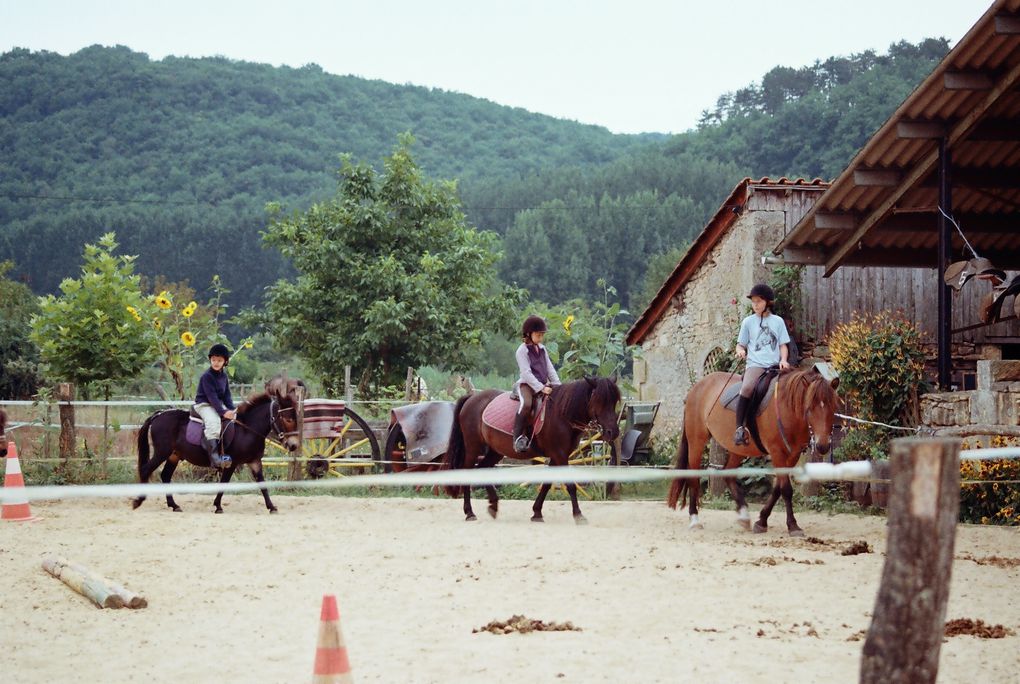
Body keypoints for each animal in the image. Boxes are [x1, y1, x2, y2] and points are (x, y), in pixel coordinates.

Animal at [129, 377, 301, 515]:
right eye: (288, 419)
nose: (293, 445)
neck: (247, 429)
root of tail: (159, 414)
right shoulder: (232, 462)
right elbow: (224, 483)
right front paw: (218, 506)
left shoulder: (254, 462)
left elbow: (262, 484)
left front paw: (271, 507)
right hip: (161, 452)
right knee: (146, 470)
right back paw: (138, 501)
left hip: (174, 455)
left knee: (165, 476)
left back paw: (174, 505)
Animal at [665, 366, 840, 538]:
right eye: (809, 408)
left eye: (833, 408)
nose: (822, 445)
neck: (786, 408)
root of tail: (697, 387)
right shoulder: (777, 452)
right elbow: (786, 489)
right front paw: (793, 525)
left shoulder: (792, 455)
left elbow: (777, 489)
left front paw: (761, 521)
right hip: (697, 441)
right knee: (693, 477)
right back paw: (694, 519)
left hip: (737, 448)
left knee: (728, 473)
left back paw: (743, 516)